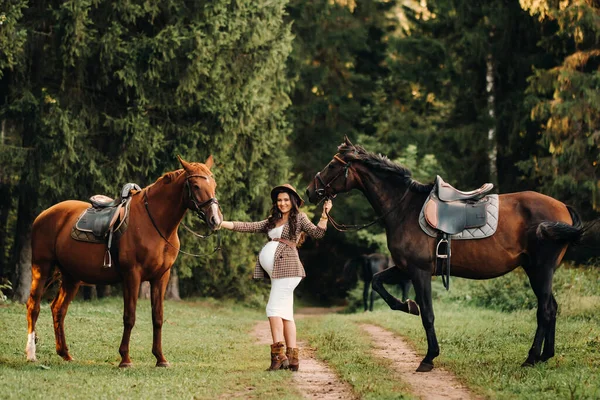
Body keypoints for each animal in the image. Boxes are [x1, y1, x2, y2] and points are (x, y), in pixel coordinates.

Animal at [25, 155, 223, 368]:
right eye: (195, 185)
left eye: (214, 185)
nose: (215, 220)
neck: (154, 224)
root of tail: (43, 215)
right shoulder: (132, 275)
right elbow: (130, 317)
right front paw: (125, 359)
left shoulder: (161, 277)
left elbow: (158, 318)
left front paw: (160, 358)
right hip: (41, 267)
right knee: (34, 306)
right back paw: (31, 354)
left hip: (72, 277)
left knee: (58, 310)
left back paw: (65, 354)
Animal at [308, 138, 584, 372]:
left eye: (332, 165)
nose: (311, 191)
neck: (404, 209)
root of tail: (563, 207)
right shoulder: (404, 268)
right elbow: (378, 284)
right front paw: (407, 306)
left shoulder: (419, 272)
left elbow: (428, 315)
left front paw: (429, 357)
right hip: (536, 270)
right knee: (551, 308)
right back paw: (545, 355)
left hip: (540, 269)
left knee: (545, 310)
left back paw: (531, 358)